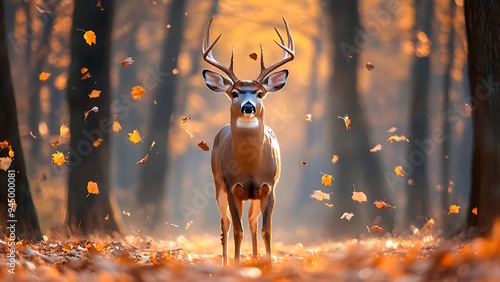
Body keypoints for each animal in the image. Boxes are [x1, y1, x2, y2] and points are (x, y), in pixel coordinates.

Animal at [201, 16, 294, 266]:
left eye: (260, 93)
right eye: (234, 93)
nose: (248, 106)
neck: (250, 167)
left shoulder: (269, 186)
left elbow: (266, 230)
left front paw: (268, 263)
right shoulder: (233, 187)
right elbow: (237, 230)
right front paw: (236, 264)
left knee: (252, 221)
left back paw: (254, 257)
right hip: (218, 185)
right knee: (225, 223)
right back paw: (226, 263)